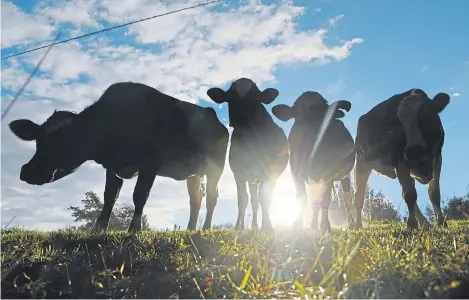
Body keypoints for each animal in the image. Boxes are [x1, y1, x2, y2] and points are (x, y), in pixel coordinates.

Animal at [8, 81, 229, 232]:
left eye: (60, 142)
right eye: (38, 140)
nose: (27, 171)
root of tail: (218, 122)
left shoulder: (150, 164)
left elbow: (139, 195)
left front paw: (134, 229)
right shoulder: (112, 166)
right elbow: (109, 196)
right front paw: (98, 229)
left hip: (216, 168)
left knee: (211, 197)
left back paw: (205, 228)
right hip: (194, 173)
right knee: (196, 199)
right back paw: (190, 229)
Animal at [206, 77, 288, 230]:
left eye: (255, 97)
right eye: (230, 97)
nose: (240, 117)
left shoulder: (271, 172)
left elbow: (265, 198)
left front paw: (267, 227)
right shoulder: (238, 172)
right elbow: (243, 199)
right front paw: (239, 227)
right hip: (252, 179)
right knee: (254, 201)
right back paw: (254, 226)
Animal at [270, 91, 354, 232]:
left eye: (324, 106)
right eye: (298, 109)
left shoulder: (328, 173)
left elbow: (325, 200)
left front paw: (325, 226)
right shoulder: (296, 171)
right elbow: (302, 198)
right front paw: (297, 225)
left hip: (345, 175)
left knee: (347, 199)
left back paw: (353, 223)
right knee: (315, 201)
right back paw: (313, 225)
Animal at [354, 88, 450, 229]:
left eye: (426, 115)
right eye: (399, 121)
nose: (412, 151)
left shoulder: (437, 156)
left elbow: (434, 192)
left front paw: (441, 222)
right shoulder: (399, 161)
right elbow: (410, 195)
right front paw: (412, 225)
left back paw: (425, 223)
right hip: (362, 162)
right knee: (359, 195)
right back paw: (357, 225)